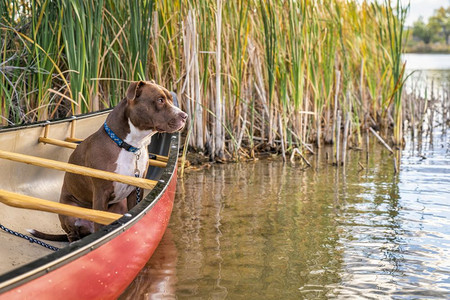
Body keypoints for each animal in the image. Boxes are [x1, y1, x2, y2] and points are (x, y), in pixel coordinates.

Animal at [30, 80, 186, 241]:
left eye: (170, 98)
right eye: (160, 100)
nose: (185, 116)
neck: (130, 146)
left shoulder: (135, 190)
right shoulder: (100, 193)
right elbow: (99, 222)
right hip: (69, 212)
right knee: (72, 234)